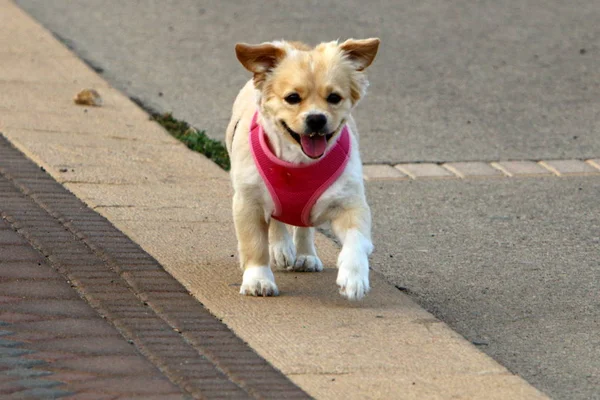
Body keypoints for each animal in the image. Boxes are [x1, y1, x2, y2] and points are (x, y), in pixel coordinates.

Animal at [225, 38, 380, 300]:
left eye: (334, 98)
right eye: (292, 98)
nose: (316, 118)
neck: (298, 164)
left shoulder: (350, 203)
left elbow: (356, 240)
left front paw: (353, 276)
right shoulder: (248, 201)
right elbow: (255, 244)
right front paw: (258, 280)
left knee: (304, 225)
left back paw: (306, 255)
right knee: (277, 220)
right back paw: (281, 247)